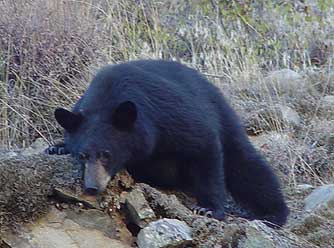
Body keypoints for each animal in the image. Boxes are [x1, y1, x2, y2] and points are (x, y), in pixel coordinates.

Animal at [47, 59, 290, 227]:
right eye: (82, 155)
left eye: (106, 154)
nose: (91, 187)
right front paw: (58, 146)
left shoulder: (166, 115)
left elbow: (204, 145)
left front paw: (209, 209)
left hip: (222, 112)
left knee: (246, 166)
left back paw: (273, 213)